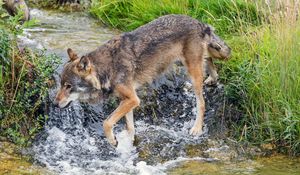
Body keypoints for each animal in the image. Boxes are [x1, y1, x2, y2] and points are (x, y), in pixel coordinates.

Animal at [54, 14, 232, 146]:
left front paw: (113, 141)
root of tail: (200, 23)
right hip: (185, 63)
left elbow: (106, 122)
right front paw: (128, 142)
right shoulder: (127, 100)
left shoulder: (133, 99)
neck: (107, 68)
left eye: (68, 86)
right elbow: (129, 126)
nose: (54, 104)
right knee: (209, 60)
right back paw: (212, 78)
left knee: (201, 103)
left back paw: (196, 129)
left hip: (192, 73)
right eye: (61, 84)